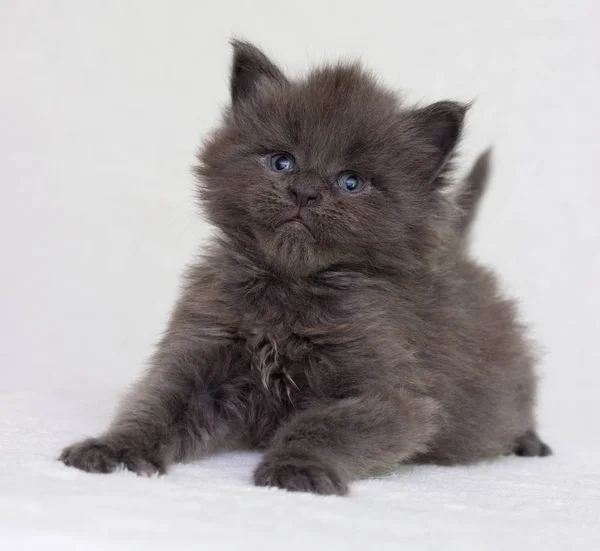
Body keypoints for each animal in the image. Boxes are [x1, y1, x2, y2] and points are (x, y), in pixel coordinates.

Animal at [58, 40, 552, 496]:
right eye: (283, 161)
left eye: (351, 182)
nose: (305, 191)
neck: (288, 289)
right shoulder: (201, 346)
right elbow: (154, 406)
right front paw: (115, 448)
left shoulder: (391, 394)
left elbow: (322, 426)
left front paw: (295, 469)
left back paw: (528, 442)